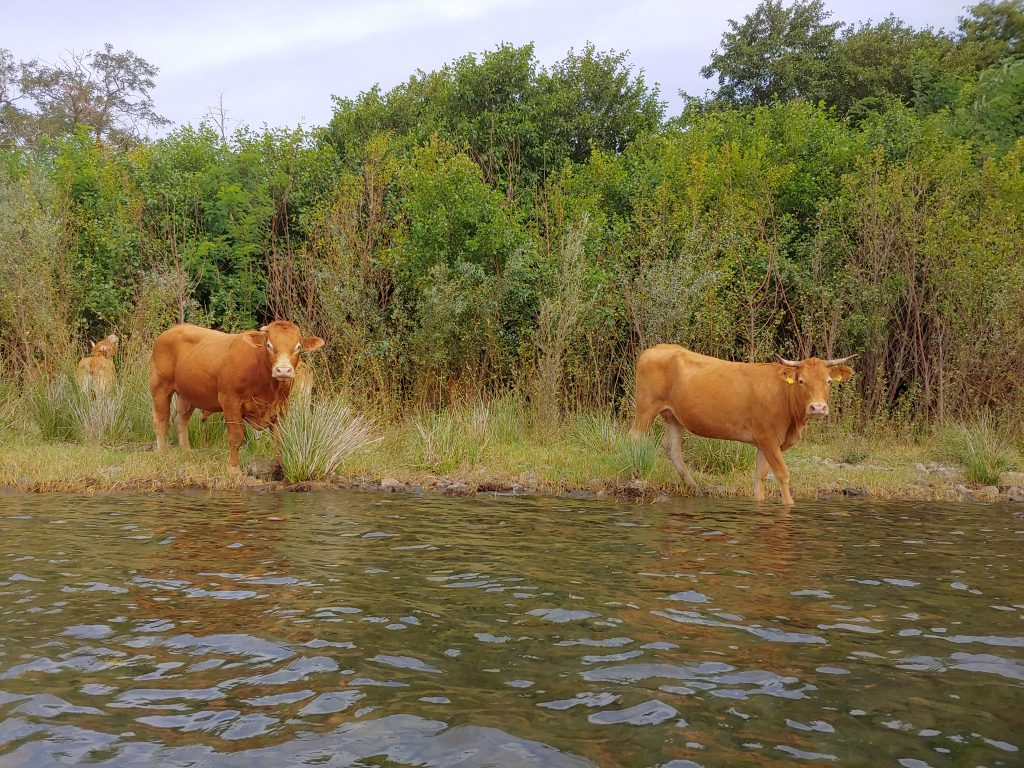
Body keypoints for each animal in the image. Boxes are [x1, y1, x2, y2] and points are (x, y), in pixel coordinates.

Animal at [148, 319, 321, 466]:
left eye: (298, 347)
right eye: (269, 345)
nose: (283, 370)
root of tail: (171, 331)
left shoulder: (281, 406)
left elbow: (278, 439)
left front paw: (281, 465)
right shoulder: (230, 402)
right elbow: (236, 438)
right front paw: (234, 468)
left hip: (188, 393)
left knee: (180, 419)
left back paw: (186, 452)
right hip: (160, 387)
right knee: (161, 422)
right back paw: (162, 454)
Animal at [630, 348, 856, 505]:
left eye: (828, 381)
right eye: (801, 381)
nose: (817, 408)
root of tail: (655, 348)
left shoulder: (765, 443)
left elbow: (760, 477)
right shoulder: (768, 438)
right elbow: (782, 474)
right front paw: (789, 505)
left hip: (674, 417)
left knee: (673, 448)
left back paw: (693, 486)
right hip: (645, 408)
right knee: (635, 438)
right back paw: (636, 475)